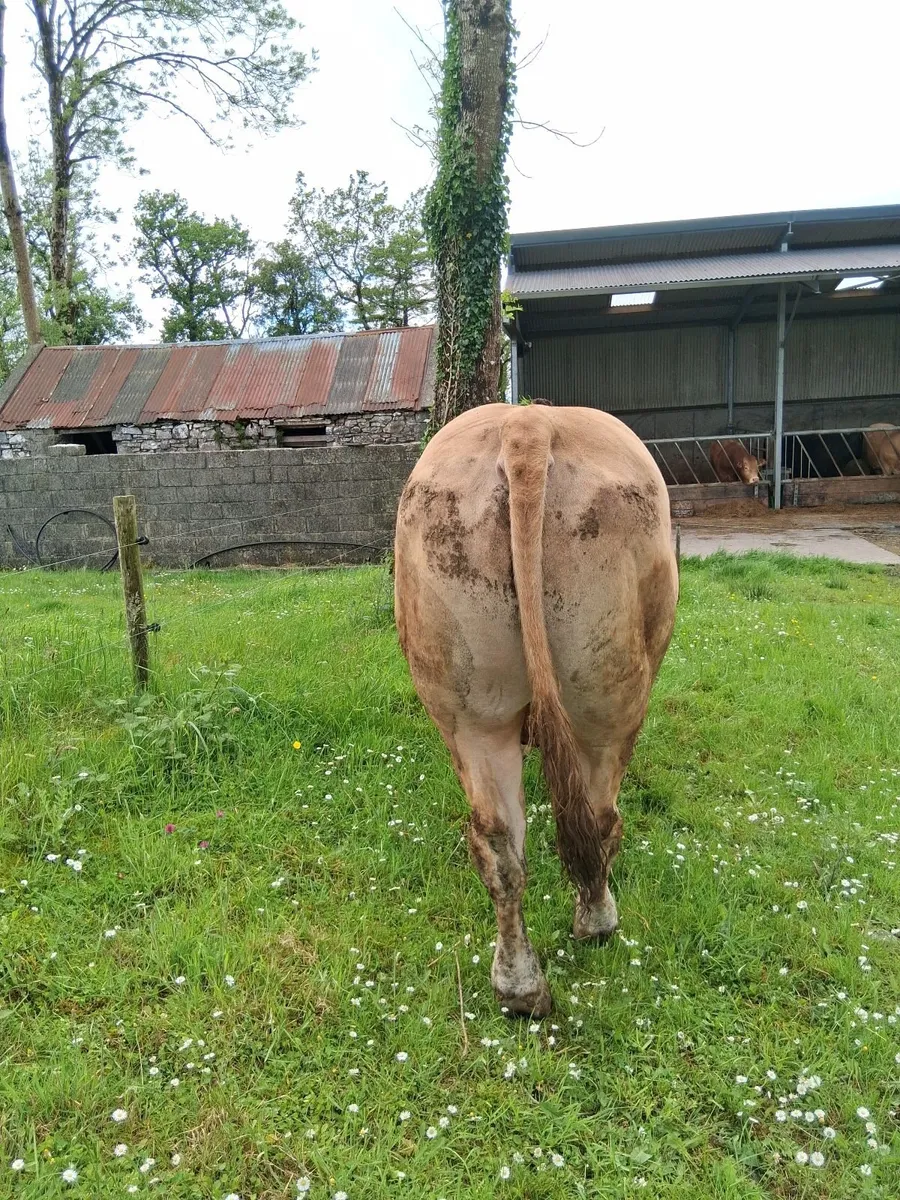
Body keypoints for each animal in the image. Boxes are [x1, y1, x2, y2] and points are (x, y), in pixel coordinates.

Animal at [394, 403, 678, 1016]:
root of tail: (528, 423)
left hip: (471, 711)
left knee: (498, 844)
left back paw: (520, 987)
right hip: (608, 700)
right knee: (599, 818)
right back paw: (596, 920)